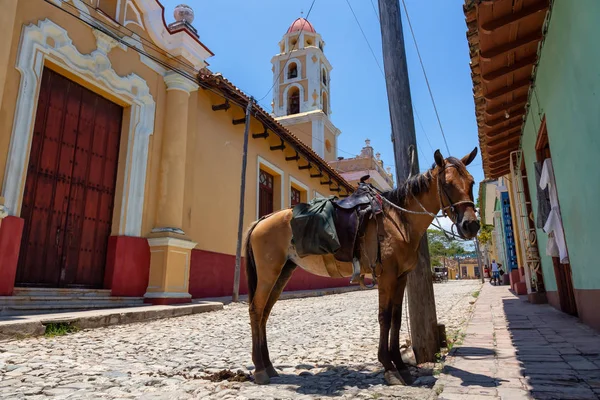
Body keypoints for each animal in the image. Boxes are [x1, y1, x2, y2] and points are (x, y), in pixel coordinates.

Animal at [243, 148, 478, 386]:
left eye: (472, 182)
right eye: (447, 184)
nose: (471, 225)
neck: (399, 221)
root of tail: (261, 220)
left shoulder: (401, 277)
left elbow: (396, 318)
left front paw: (401, 366)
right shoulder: (386, 276)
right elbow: (384, 317)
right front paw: (389, 367)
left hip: (282, 272)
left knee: (264, 312)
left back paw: (269, 366)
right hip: (268, 273)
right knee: (256, 310)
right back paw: (260, 369)